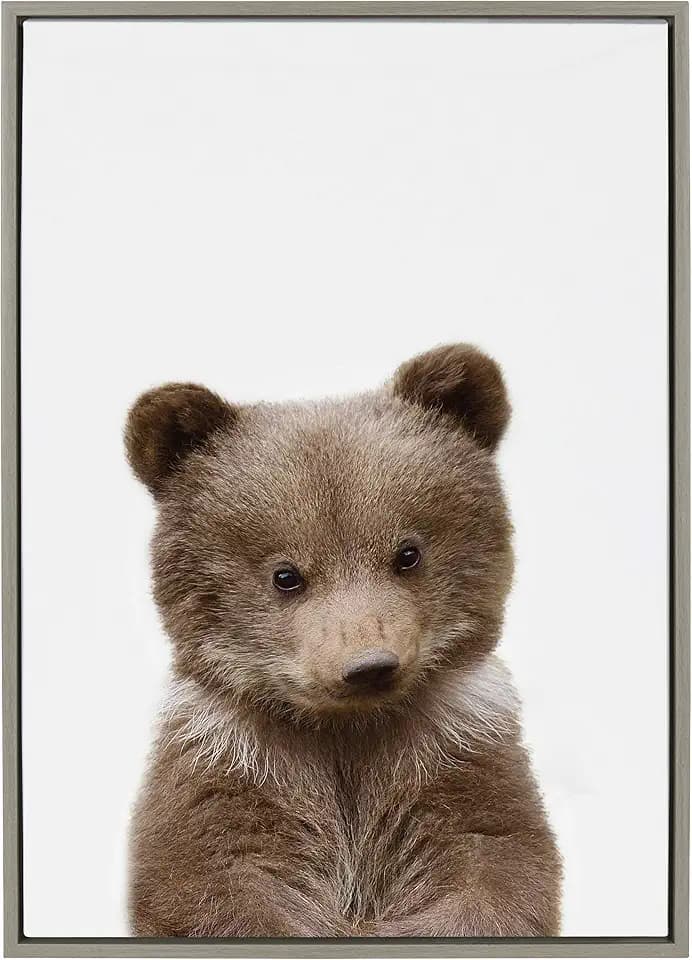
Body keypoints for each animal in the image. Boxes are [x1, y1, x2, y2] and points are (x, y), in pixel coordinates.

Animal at [125, 343, 562, 938]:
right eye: (286, 575)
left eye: (408, 553)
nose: (369, 665)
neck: (344, 732)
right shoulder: (228, 766)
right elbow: (210, 884)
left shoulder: (460, 755)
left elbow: (495, 870)